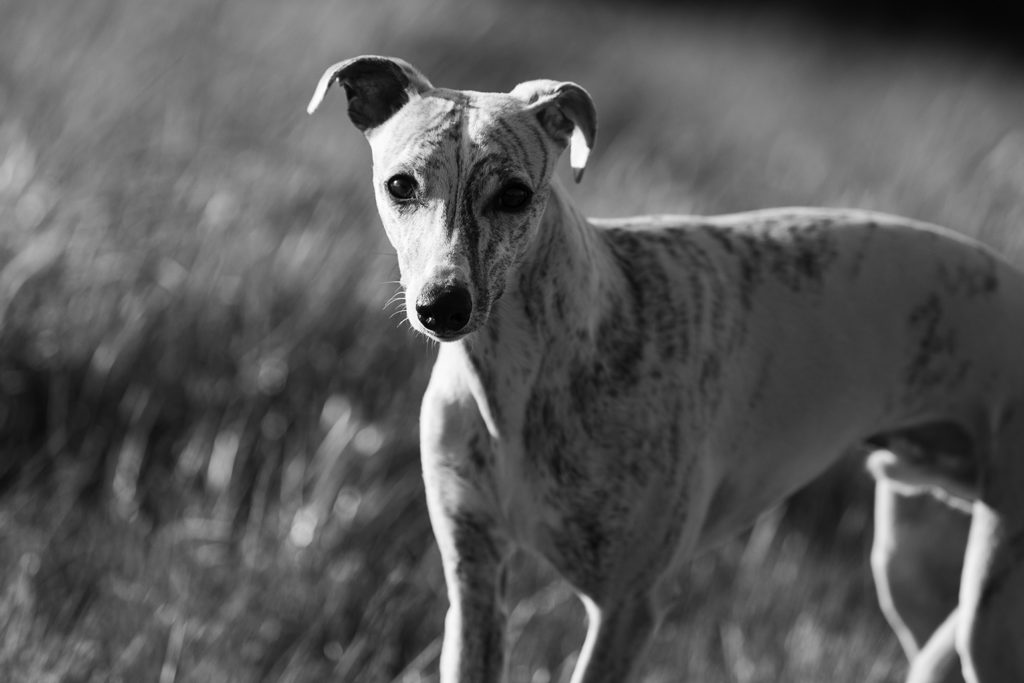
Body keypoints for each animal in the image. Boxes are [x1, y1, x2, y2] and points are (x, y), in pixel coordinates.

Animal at [307, 54, 1024, 683]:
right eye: (401, 185)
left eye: (514, 194)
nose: (442, 306)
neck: (525, 371)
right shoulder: (477, 583)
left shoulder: (626, 607)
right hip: (910, 565)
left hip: (989, 612)